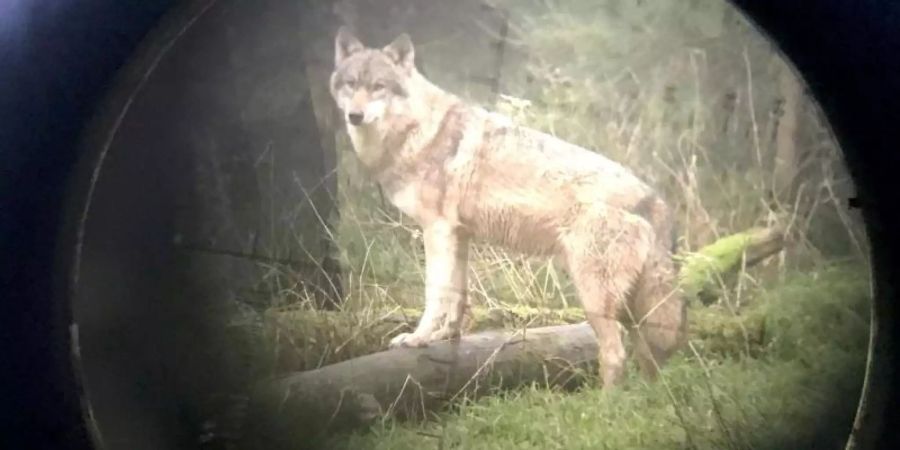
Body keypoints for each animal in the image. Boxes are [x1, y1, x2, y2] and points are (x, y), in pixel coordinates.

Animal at [330, 27, 688, 386]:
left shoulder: (437, 231)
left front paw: (417, 339)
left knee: (616, 356)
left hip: (595, 298)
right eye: (351, 84)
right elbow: (457, 295)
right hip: (632, 311)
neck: (417, 131)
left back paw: (608, 402)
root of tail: (655, 200)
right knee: (649, 360)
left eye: (378, 86)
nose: (354, 116)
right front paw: (446, 337)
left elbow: (435, 295)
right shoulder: (459, 235)